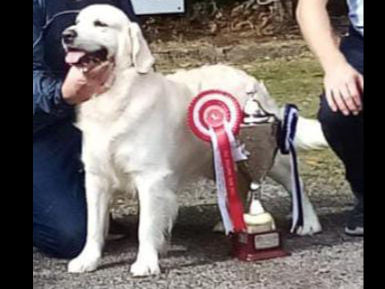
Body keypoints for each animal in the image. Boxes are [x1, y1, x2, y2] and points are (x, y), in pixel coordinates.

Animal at [63, 3, 328, 274]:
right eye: (77, 22)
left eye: (100, 24)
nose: (67, 35)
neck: (115, 97)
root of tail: (248, 78)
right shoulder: (96, 176)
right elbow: (93, 226)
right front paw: (88, 259)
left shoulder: (150, 176)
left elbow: (145, 226)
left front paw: (146, 262)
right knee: (242, 185)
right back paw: (234, 223)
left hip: (271, 157)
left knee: (295, 183)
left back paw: (307, 223)